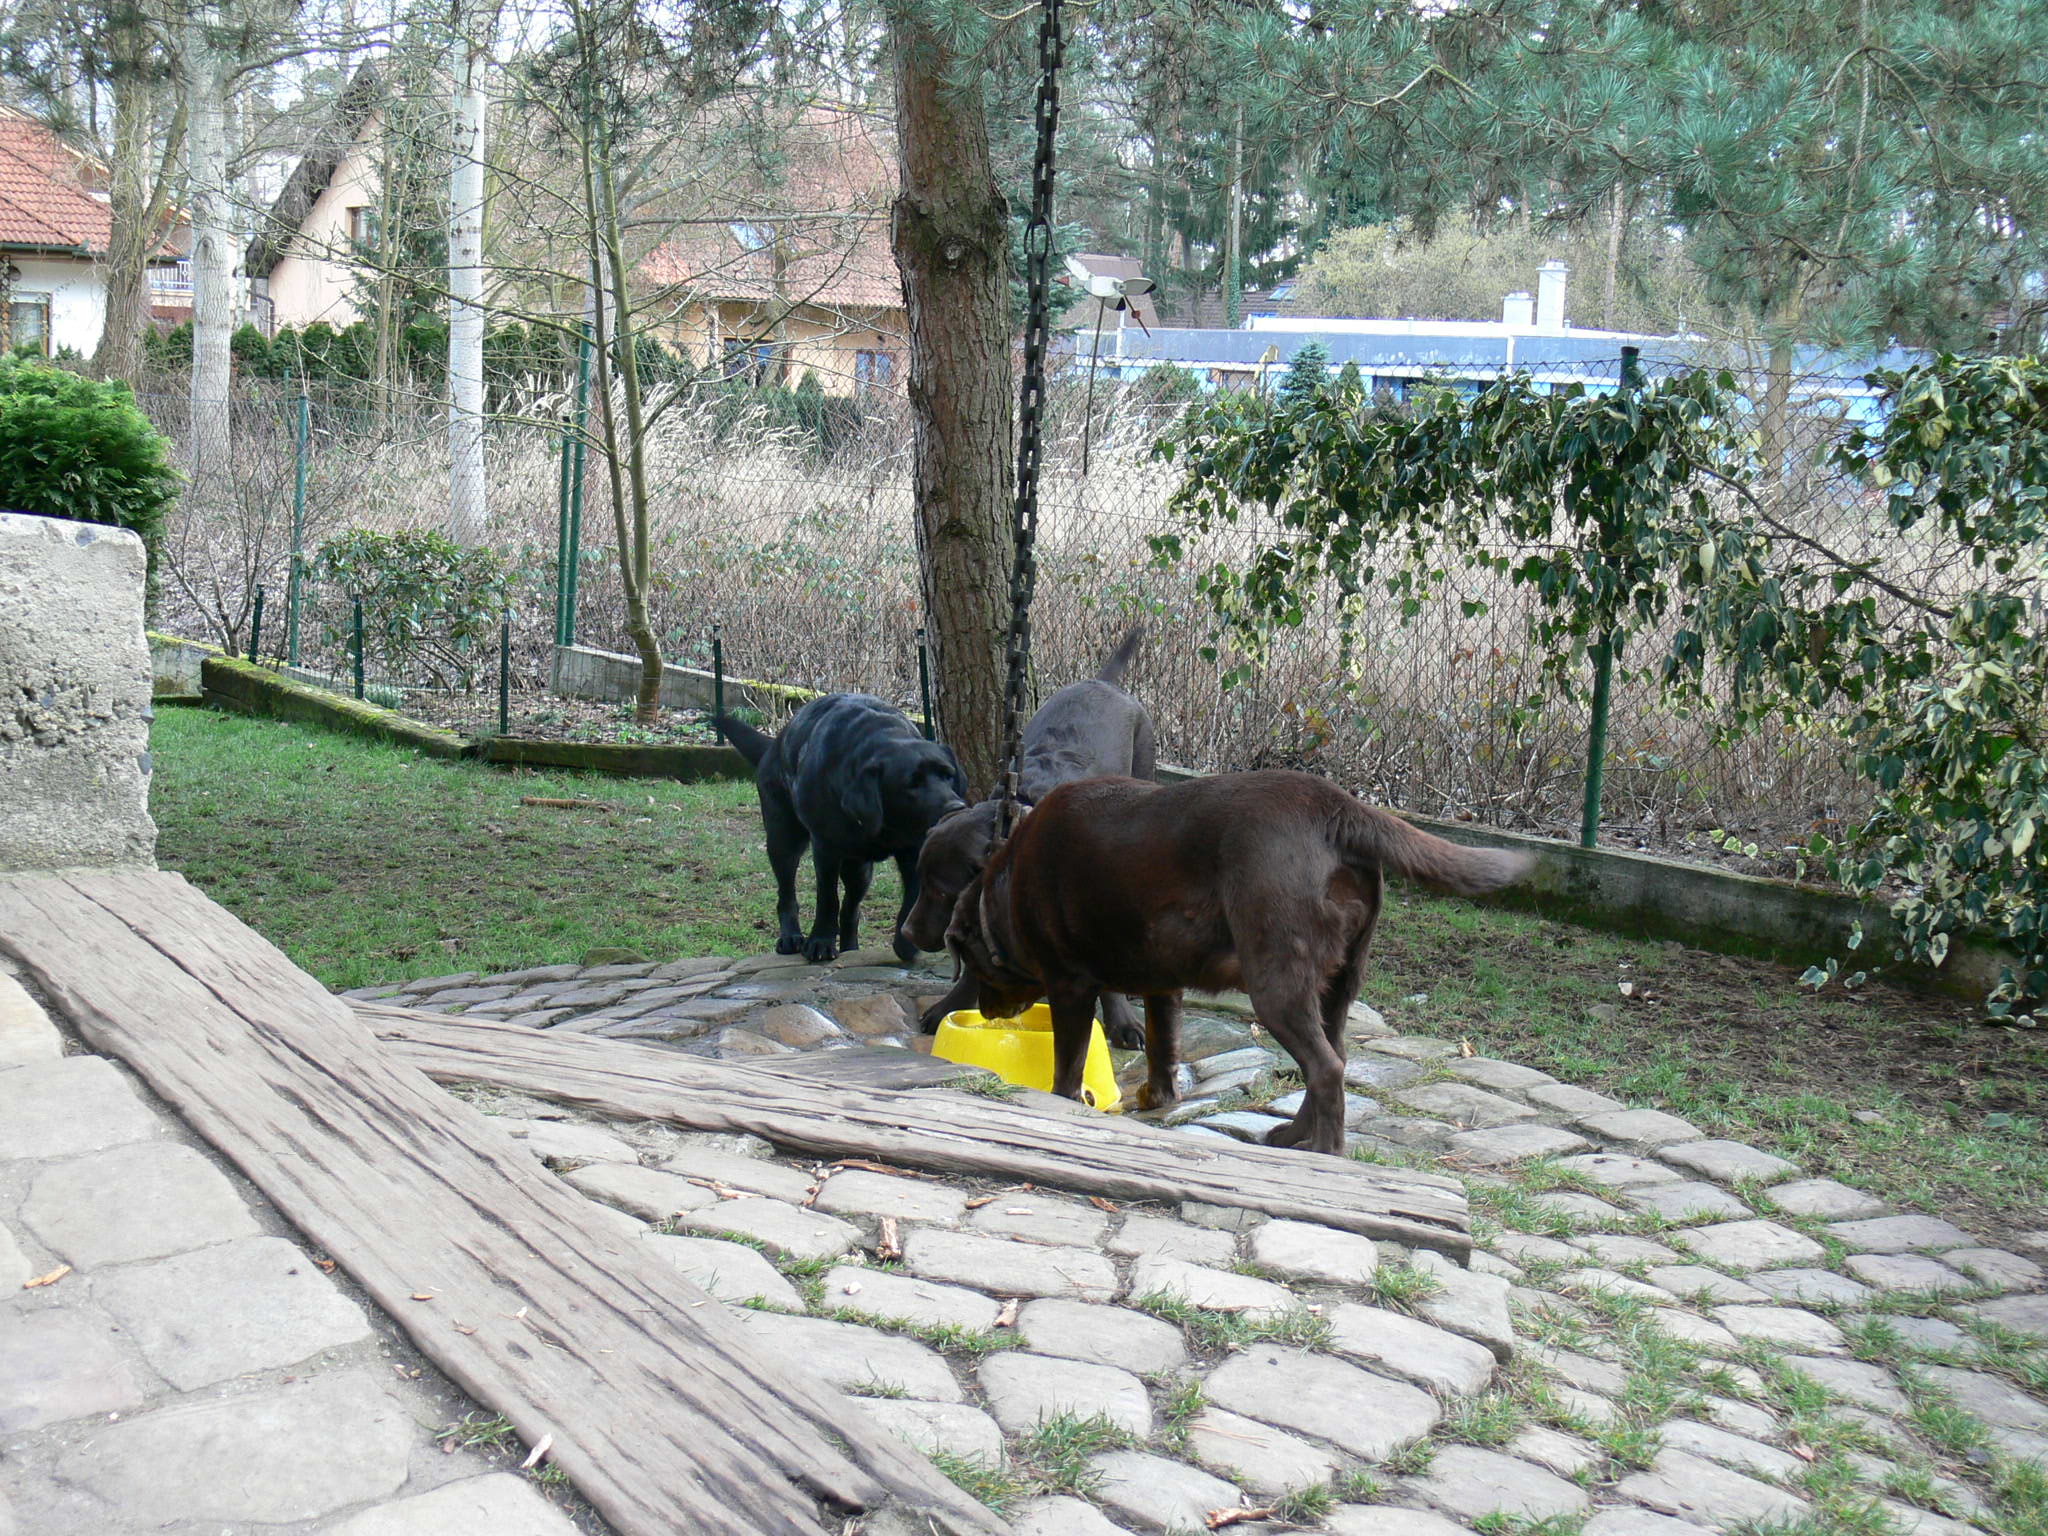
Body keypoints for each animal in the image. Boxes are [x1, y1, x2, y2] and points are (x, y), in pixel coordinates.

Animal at [724, 696, 970, 962]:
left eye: (948, 775)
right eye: (911, 784)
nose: (956, 808)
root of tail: (774, 745)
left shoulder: (914, 851)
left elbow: (911, 899)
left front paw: (907, 943)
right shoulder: (825, 848)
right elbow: (827, 898)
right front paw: (820, 941)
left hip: (859, 870)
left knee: (851, 910)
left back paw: (851, 949)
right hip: (783, 839)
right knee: (787, 894)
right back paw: (790, 937)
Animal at [905, 626, 1163, 1048]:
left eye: (942, 892)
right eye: (920, 882)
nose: (908, 933)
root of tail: (1103, 681)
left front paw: (1123, 1023)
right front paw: (950, 1007)